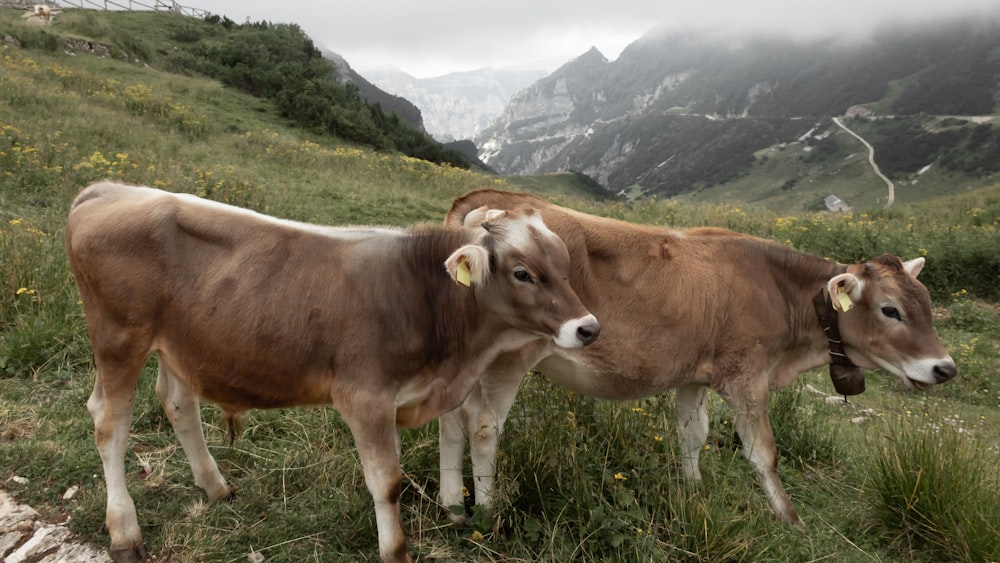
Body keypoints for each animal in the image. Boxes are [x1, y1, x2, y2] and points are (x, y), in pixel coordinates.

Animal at [66, 183, 596, 560]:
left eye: (565, 267)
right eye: (522, 273)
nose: (588, 327)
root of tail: (108, 189)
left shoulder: (399, 398)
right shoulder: (365, 398)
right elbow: (388, 483)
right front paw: (396, 552)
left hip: (180, 343)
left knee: (178, 404)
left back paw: (215, 486)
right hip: (119, 339)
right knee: (109, 424)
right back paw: (125, 534)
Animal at [442, 188, 956, 528]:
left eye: (928, 303)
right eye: (890, 310)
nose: (945, 368)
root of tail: (499, 201)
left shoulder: (694, 373)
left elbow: (693, 435)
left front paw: (693, 490)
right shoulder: (748, 376)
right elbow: (763, 453)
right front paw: (790, 518)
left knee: (452, 424)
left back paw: (451, 505)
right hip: (512, 355)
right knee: (484, 428)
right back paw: (487, 512)